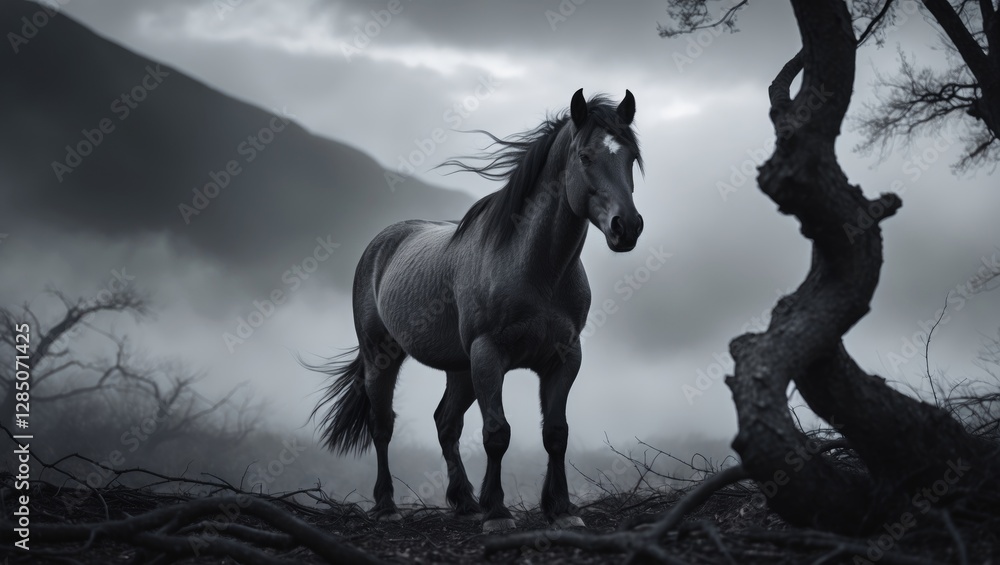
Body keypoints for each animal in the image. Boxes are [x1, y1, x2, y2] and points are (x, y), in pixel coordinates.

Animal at [311, 89, 644, 533]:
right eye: (586, 156)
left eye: (630, 157)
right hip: (382, 357)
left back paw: (465, 501)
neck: (537, 270)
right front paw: (499, 513)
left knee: (445, 423)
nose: (628, 227)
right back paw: (387, 505)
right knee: (382, 426)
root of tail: (383, 243)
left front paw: (560, 509)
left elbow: (556, 433)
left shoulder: (564, 357)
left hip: (459, 369)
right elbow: (497, 433)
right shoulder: (489, 356)